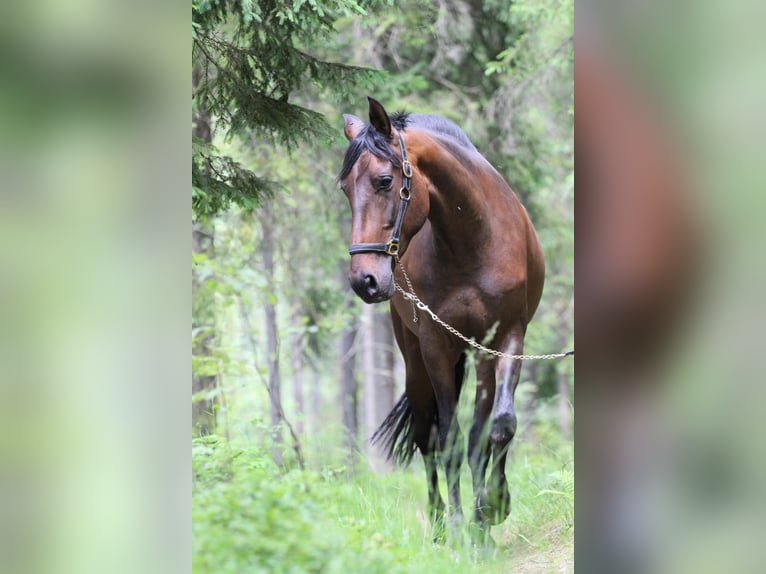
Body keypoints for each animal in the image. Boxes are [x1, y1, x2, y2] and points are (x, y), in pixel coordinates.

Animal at [338, 99, 544, 540]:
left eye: (384, 181)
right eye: (345, 188)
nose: (364, 281)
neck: (473, 238)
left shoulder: (505, 340)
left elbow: (497, 426)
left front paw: (492, 508)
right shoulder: (435, 347)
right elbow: (448, 440)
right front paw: (461, 525)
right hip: (414, 361)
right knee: (425, 437)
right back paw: (437, 525)